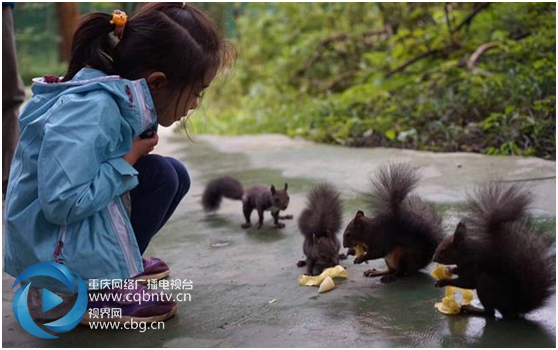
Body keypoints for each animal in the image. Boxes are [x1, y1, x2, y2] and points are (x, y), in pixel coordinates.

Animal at [436, 183, 556, 320]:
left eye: (443, 251)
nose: (434, 258)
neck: (465, 253)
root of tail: (516, 308)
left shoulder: (472, 265)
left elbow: (467, 282)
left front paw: (443, 281)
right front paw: (450, 270)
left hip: (485, 283)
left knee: (490, 312)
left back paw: (470, 309)